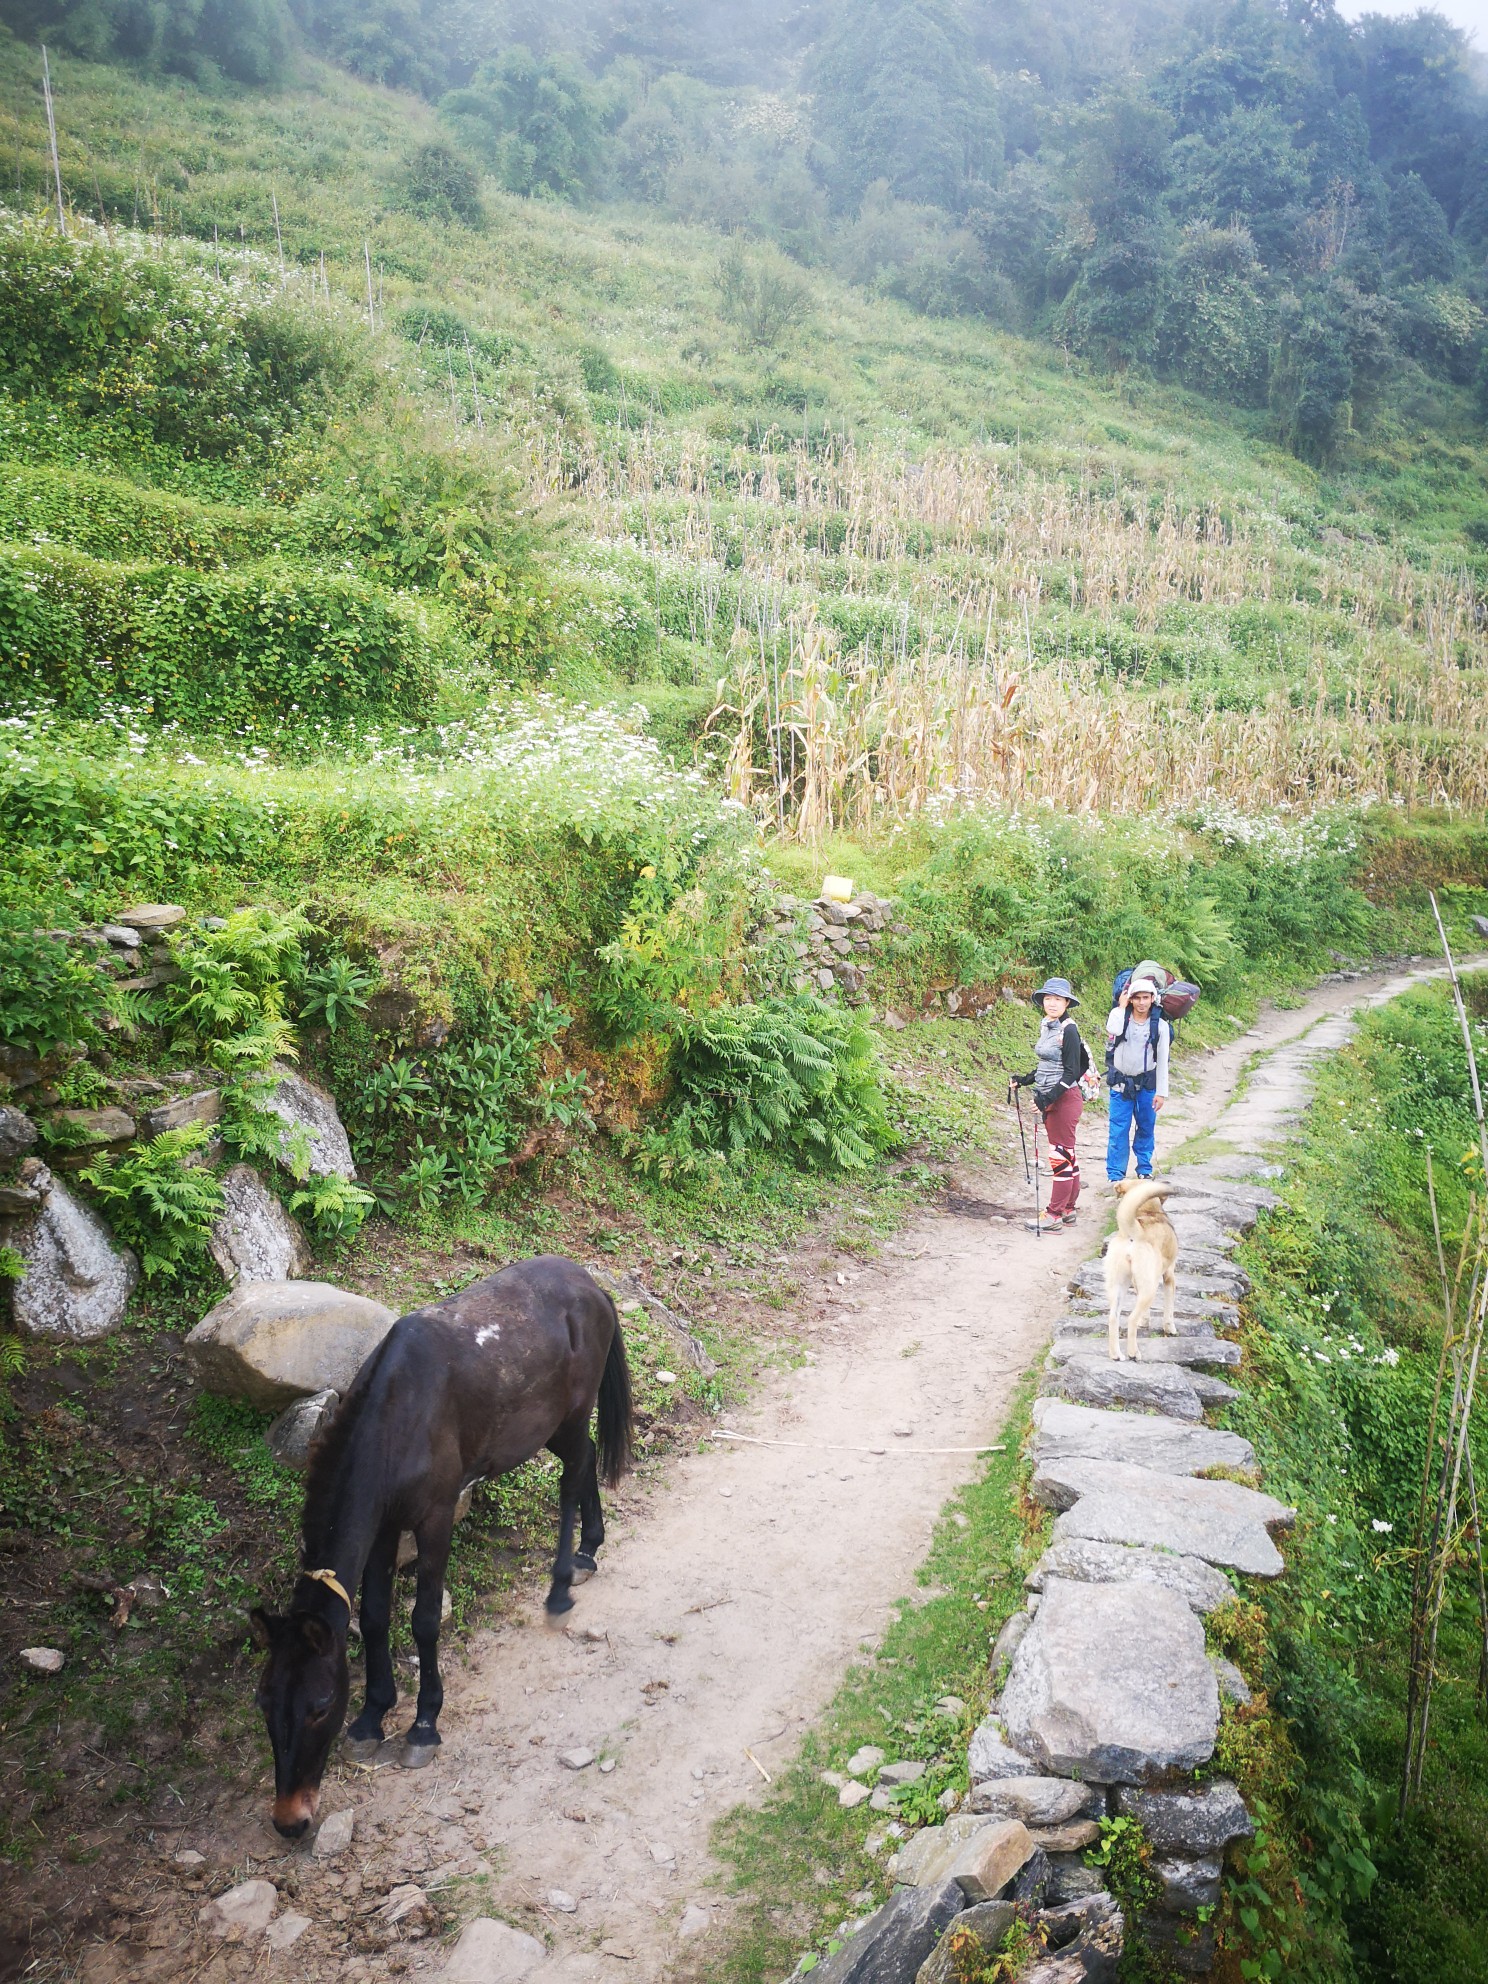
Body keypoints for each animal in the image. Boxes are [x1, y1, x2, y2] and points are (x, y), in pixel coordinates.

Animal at [251, 1261, 634, 1833]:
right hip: (549, 1427)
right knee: (585, 1457)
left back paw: (561, 1587)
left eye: (319, 1704)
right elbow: (377, 1617)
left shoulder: (433, 1520)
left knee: (571, 1478)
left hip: (571, 1413)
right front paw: (371, 1717)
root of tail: (590, 1284)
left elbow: (425, 1620)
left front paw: (423, 1724)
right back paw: (588, 1550)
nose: (289, 1820)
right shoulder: (385, 1527)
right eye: (265, 1702)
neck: (397, 1414)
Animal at [1103, 1174, 1182, 1364]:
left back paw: (1116, 1355)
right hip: (1150, 1288)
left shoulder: (1137, 1282)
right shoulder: (1169, 1276)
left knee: (1113, 1318)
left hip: (1119, 1286)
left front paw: (1145, 1322)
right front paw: (1170, 1329)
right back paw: (1133, 1353)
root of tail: (1132, 1233)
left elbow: (1145, 1313)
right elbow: (1169, 1310)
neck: (1147, 1211)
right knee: (1131, 1318)